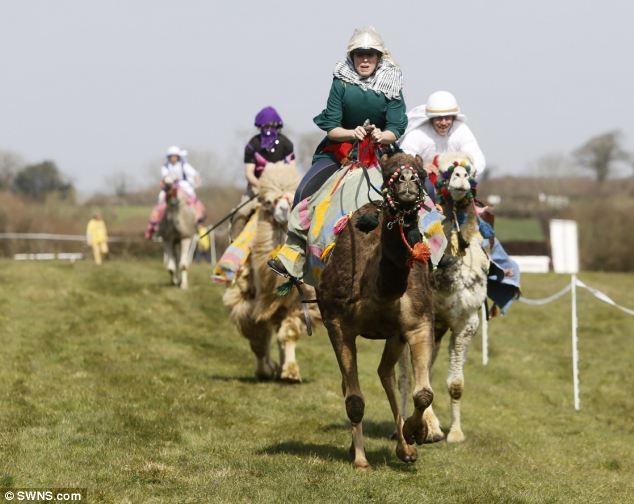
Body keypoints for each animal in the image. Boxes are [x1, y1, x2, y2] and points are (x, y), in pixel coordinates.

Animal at [223, 161, 320, 382]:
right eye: (268, 202)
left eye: (293, 196)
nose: (284, 211)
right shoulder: (249, 298)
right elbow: (258, 336)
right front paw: (265, 370)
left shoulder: (297, 300)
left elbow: (289, 332)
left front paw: (290, 372)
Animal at [316, 151, 434, 468]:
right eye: (390, 170)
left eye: (421, 173)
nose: (407, 181)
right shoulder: (338, 324)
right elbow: (354, 400)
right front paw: (360, 459)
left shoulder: (418, 323)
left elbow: (424, 394)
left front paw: (416, 433)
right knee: (352, 385)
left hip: (395, 335)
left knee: (385, 373)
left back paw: (405, 447)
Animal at [398, 152, 486, 442]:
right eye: (443, 171)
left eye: (470, 171)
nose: (461, 179)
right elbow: (417, 376)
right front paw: (431, 427)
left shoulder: (466, 323)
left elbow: (455, 383)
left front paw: (455, 433)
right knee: (404, 376)